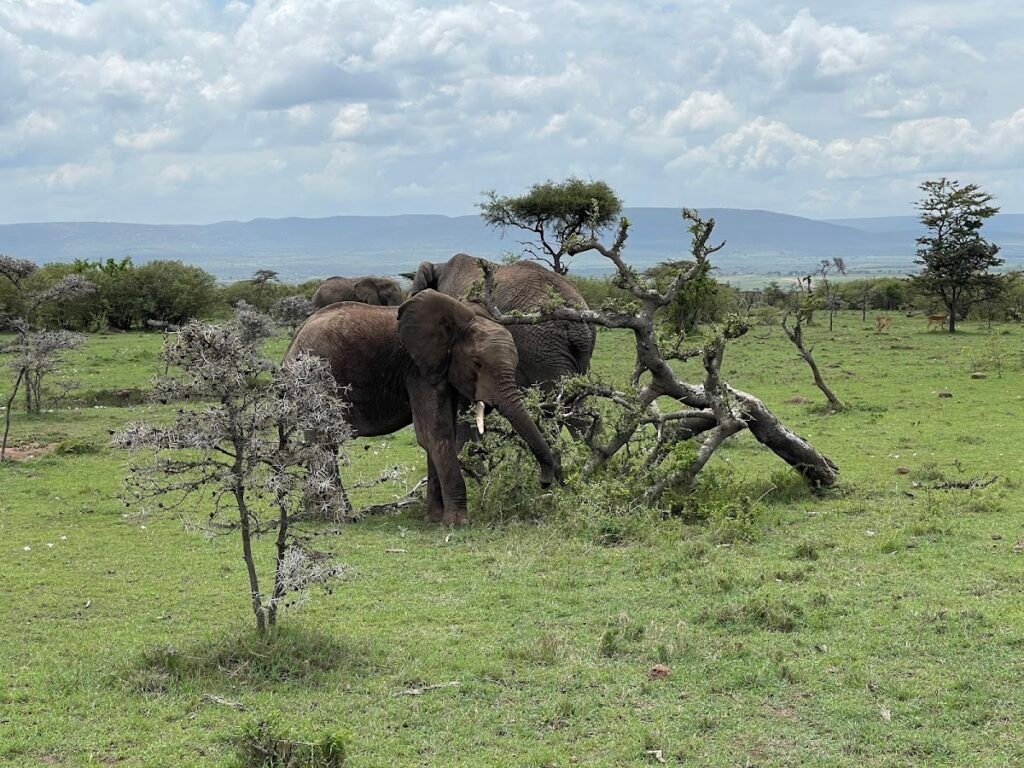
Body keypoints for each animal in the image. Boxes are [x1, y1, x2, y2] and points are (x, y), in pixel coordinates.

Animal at [285, 289, 561, 526]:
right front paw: (456, 523)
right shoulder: (417, 370)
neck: (460, 323)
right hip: (315, 382)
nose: (544, 483)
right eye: (477, 364)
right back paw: (337, 517)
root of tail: (294, 341)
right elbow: (435, 433)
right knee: (324, 443)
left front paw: (434, 519)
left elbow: (442, 433)